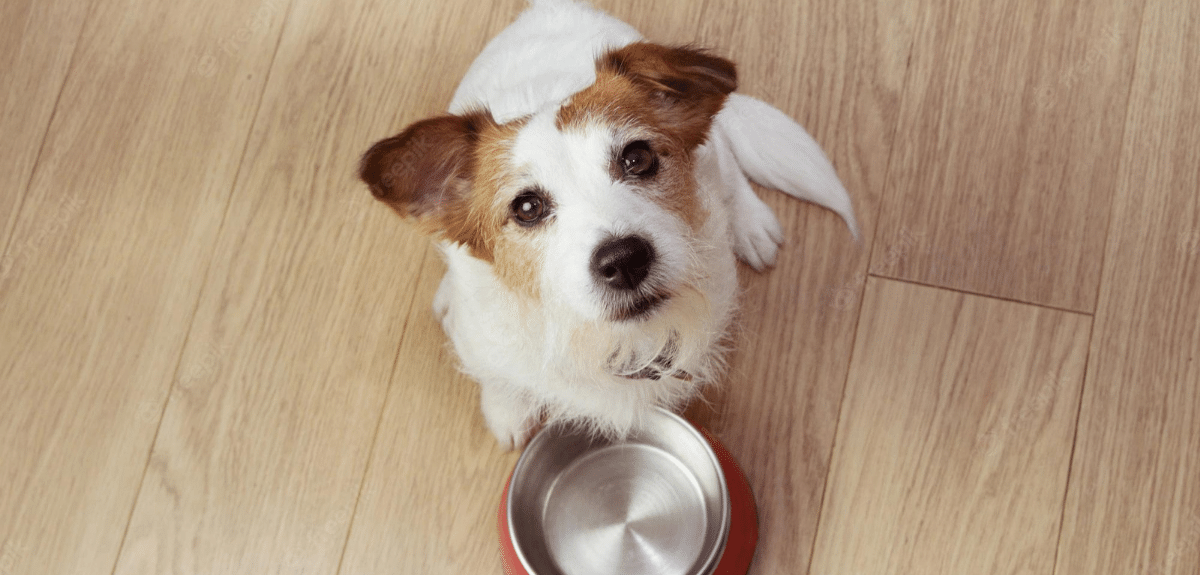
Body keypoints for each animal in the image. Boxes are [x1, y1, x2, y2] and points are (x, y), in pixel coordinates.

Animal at [360, 0, 859, 451]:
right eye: (527, 208)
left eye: (637, 158)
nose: (625, 260)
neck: (606, 340)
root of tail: (548, 7)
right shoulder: (484, 340)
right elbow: (498, 376)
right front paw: (507, 411)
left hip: (712, 149)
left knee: (728, 163)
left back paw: (751, 223)